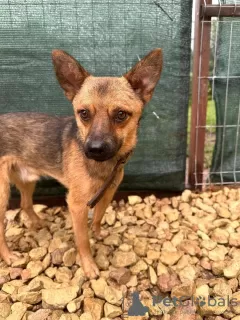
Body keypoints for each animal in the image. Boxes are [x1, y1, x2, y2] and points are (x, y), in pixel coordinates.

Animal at [0, 48, 163, 278]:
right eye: (83, 113)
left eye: (121, 114)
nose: (94, 149)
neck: (104, 166)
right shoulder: (76, 205)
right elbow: (83, 240)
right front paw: (89, 266)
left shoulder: (107, 193)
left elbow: (98, 216)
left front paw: (98, 233)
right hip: (2, 193)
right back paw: (8, 256)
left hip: (26, 180)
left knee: (25, 204)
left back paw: (39, 223)